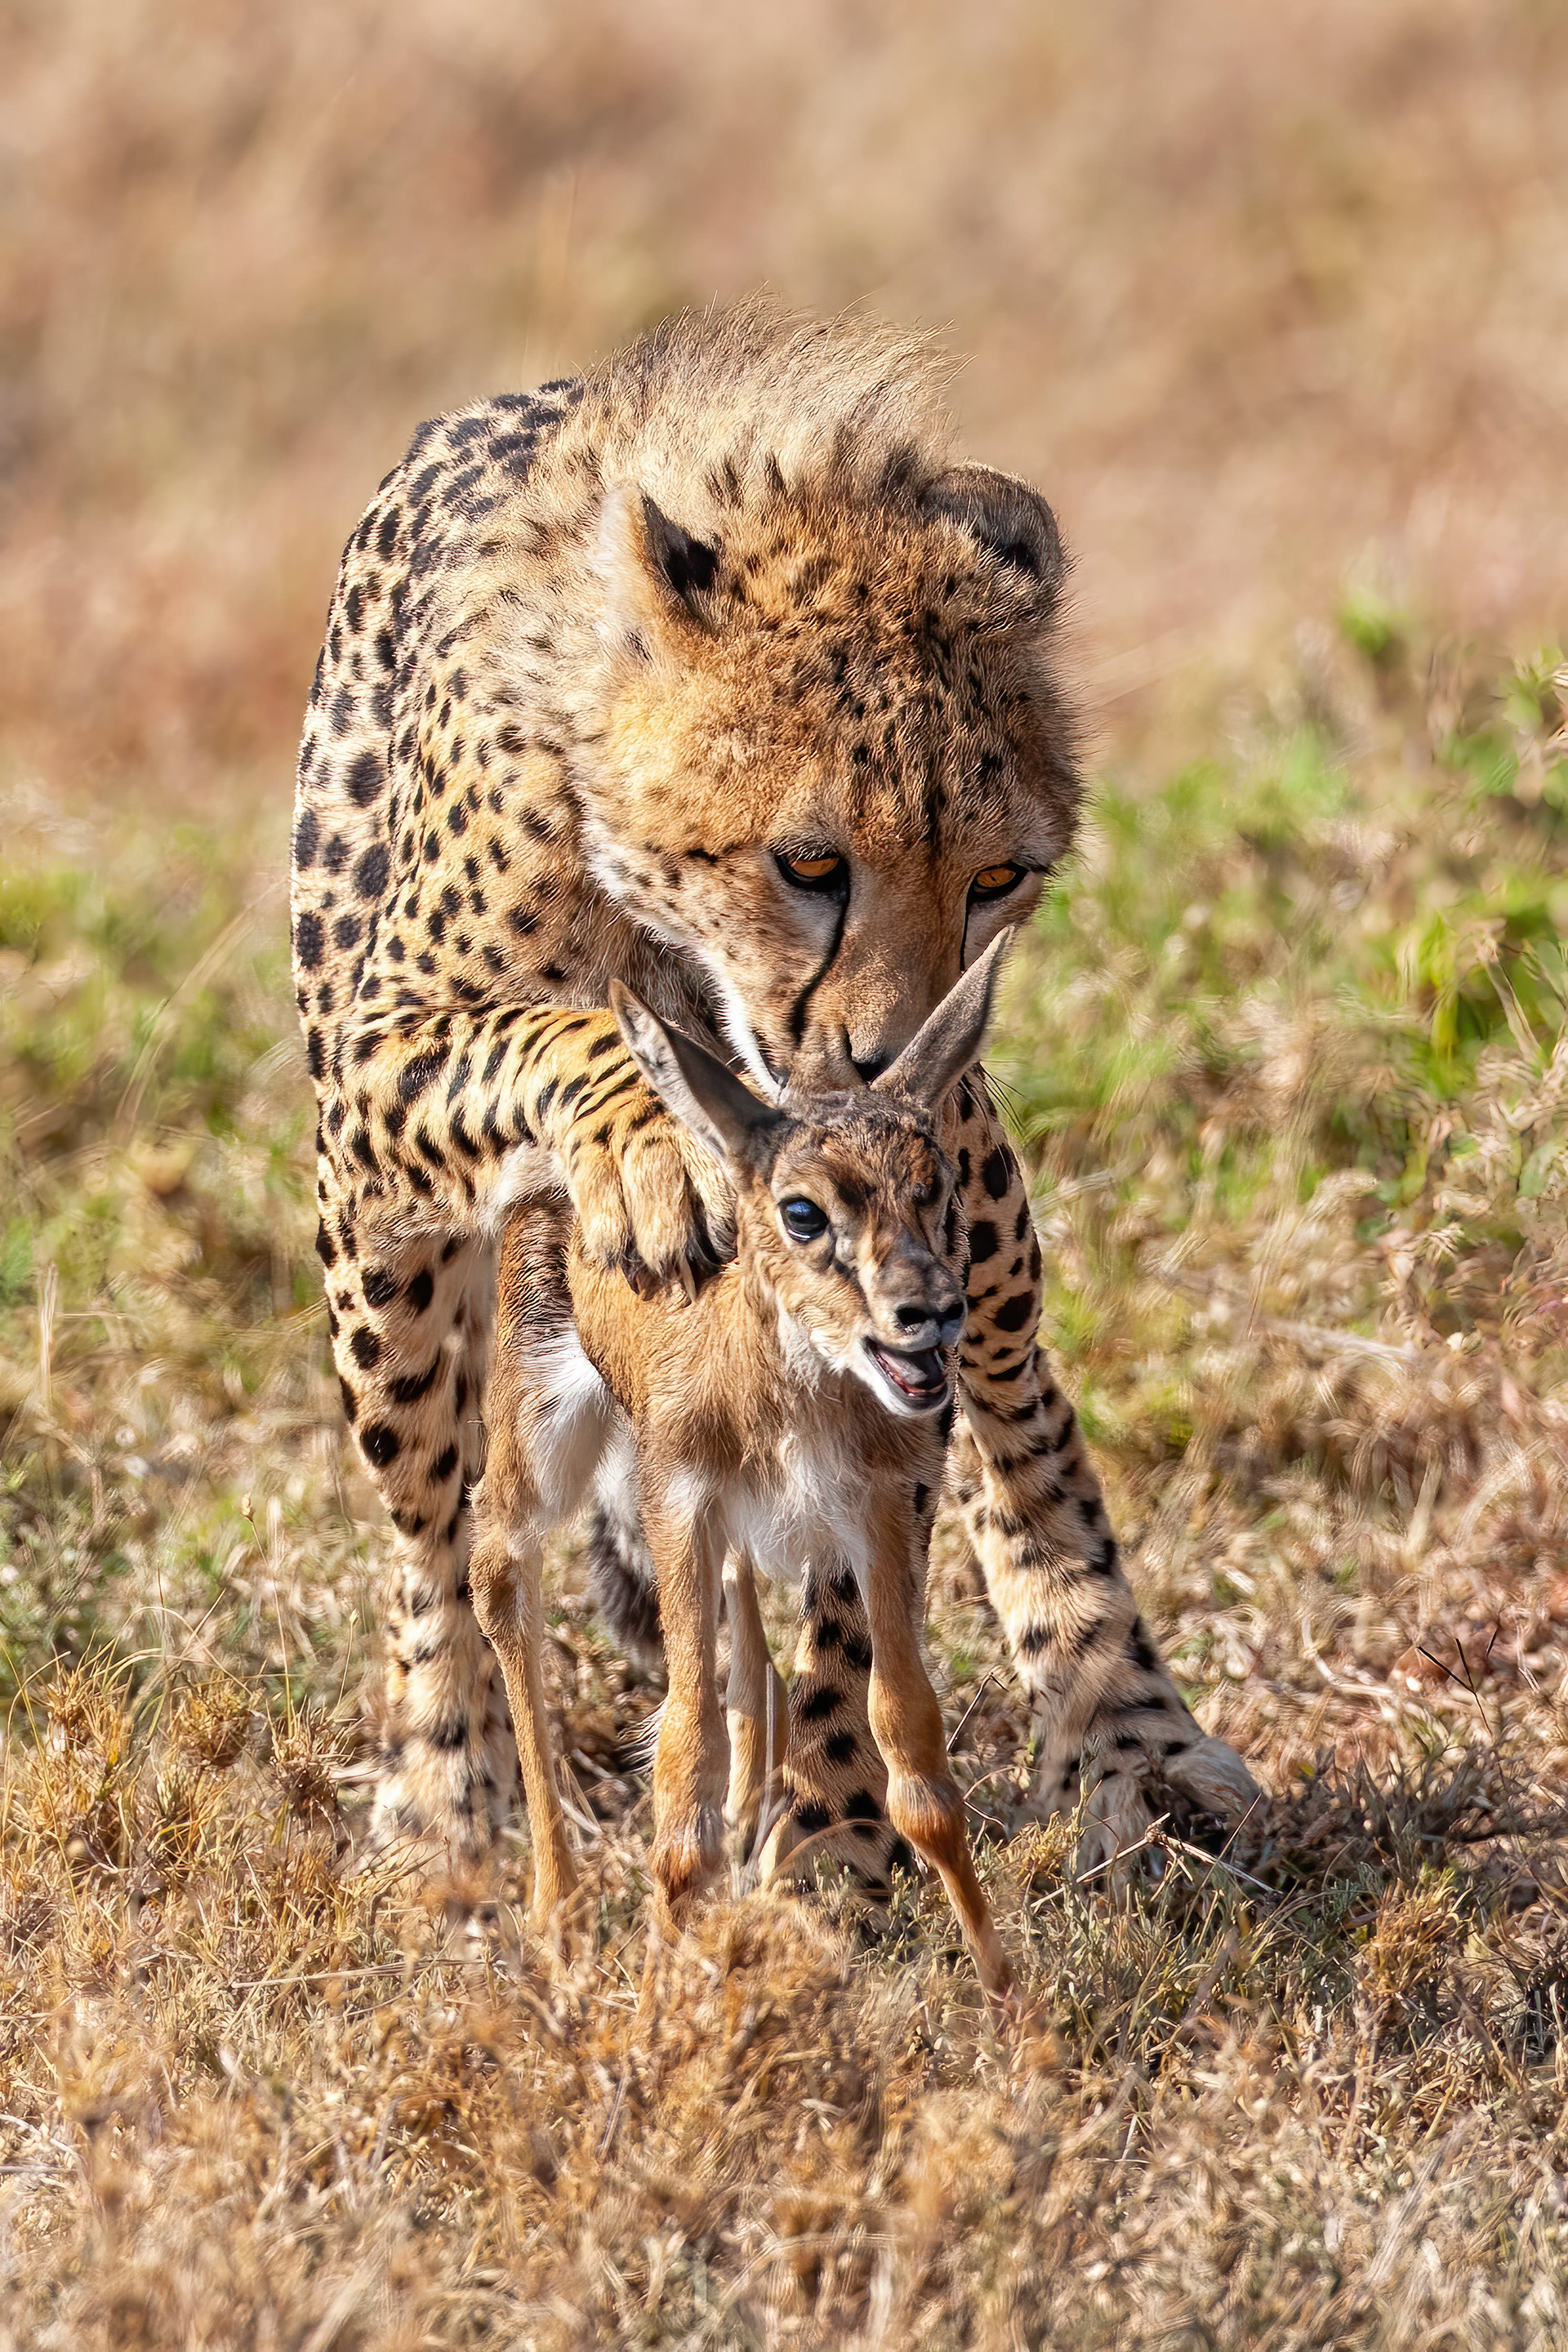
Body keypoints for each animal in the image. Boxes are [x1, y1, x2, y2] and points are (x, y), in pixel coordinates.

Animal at [290, 300, 1259, 1884]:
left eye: (998, 878)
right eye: (810, 864)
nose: (896, 1050)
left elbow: (865, 1575)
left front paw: (832, 1835)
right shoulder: (380, 1056)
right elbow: (560, 1037)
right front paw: (653, 1150)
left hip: (978, 1197)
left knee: (1022, 1422)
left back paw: (1126, 1733)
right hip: (384, 1261)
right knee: (434, 1519)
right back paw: (451, 1809)